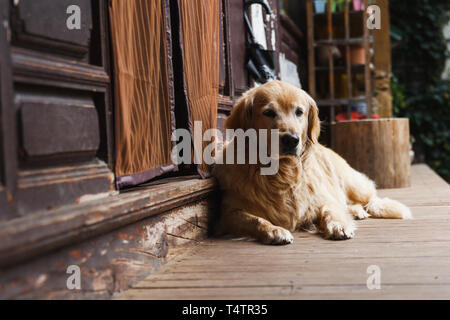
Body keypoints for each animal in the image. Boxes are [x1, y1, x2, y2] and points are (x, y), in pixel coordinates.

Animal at [213, 80, 414, 245]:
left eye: (299, 112)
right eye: (268, 113)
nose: (291, 140)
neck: (282, 172)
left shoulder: (323, 197)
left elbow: (330, 210)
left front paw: (339, 226)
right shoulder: (227, 215)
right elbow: (255, 220)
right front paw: (275, 231)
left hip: (353, 184)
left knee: (370, 198)